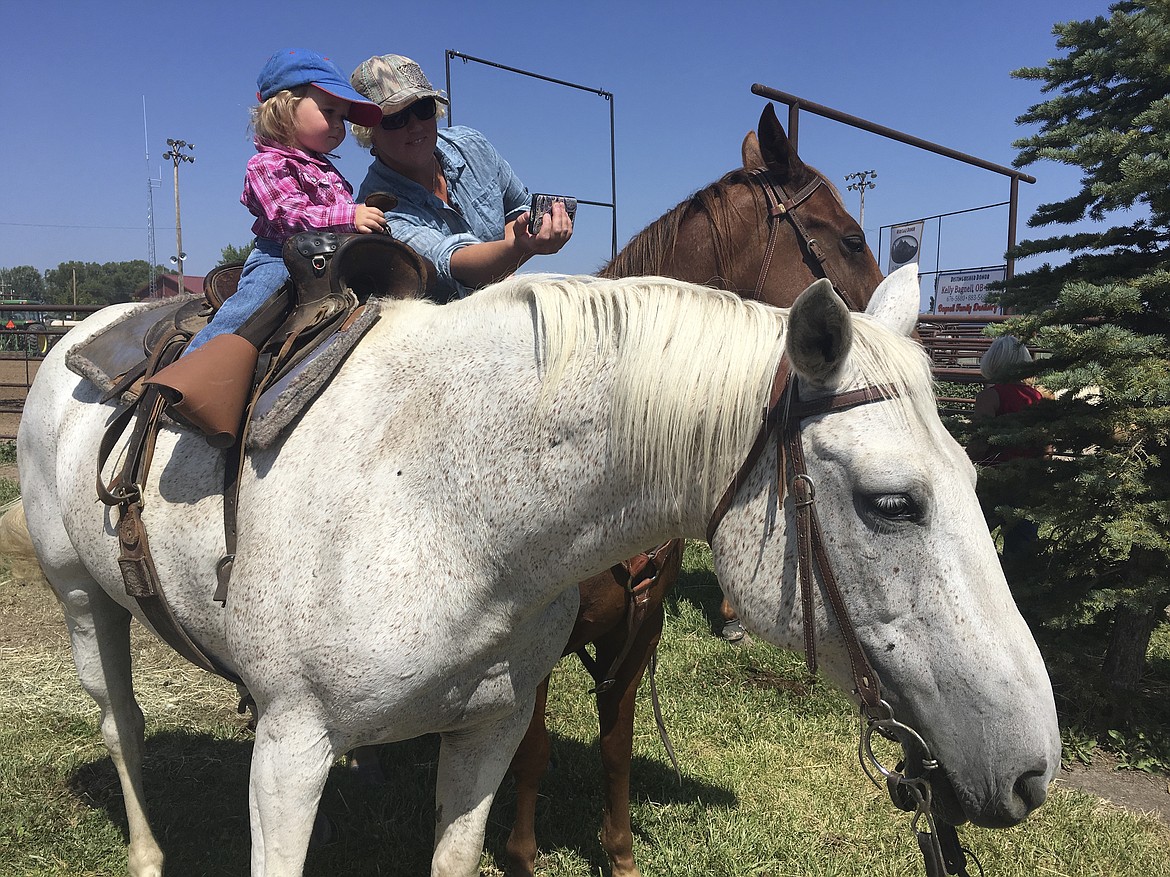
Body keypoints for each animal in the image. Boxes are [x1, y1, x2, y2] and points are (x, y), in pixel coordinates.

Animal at [11, 270, 1062, 877]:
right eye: (894, 502)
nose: (1031, 770)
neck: (445, 505)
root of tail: (76, 334)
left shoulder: (488, 730)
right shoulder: (290, 748)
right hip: (83, 600)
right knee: (121, 722)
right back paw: (147, 852)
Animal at [498, 104, 879, 877]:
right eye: (850, 237)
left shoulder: (639, 629)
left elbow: (615, 746)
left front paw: (618, 855)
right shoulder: (536, 638)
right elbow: (534, 748)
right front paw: (521, 854)